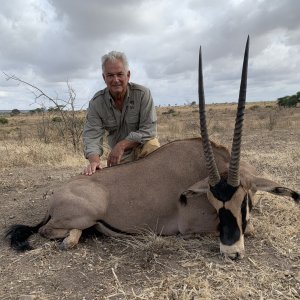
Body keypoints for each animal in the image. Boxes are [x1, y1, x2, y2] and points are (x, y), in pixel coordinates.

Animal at [5, 37, 298, 258]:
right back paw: (72, 238)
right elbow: (250, 228)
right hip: (85, 214)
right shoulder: (191, 224)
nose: (232, 252)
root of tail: (57, 196)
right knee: (50, 232)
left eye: (243, 201)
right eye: (215, 204)